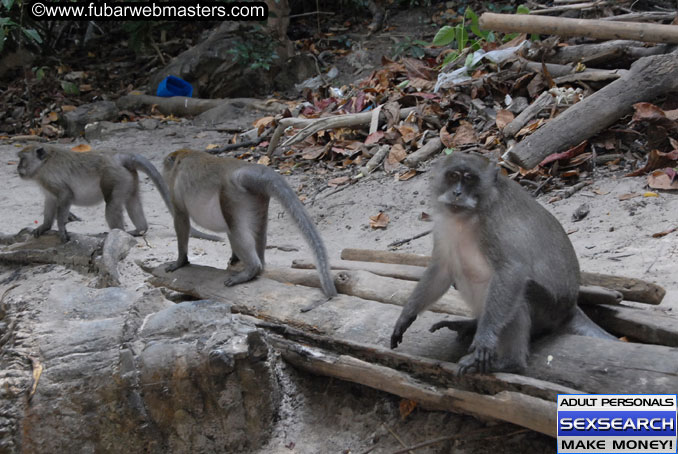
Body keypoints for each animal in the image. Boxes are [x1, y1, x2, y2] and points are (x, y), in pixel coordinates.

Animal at [17, 145, 220, 243]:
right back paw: (139, 229)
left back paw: (118, 235)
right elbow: (50, 201)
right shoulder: (46, 184)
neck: (43, 164)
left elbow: (65, 195)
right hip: (128, 177)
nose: (18, 168)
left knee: (112, 204)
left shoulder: (51, 178)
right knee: (131, 200)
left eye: (22, 159)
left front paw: (61, 229)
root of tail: (120, 156)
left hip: (114, 177)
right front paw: (44, 227)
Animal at [163, 149, 342, 302]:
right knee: (256, 231)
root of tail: (244, 169)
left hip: (231, 194)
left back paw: (252, 269)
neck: (183, 156)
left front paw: (180, 261)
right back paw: (257, 267)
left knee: (234, 229)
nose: (164, 169)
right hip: (258, 198)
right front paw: (234, 258)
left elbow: (181, 218)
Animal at [388, 153, 616, 372]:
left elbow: (511, 271)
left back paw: (510, 362)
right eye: (453, 176)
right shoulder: (444, 224)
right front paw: (407, 315)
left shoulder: (494, 226)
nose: (457, 193)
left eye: (469, 178)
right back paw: (473, 325)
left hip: (550, 310)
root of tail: (570, 307)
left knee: (523, 292)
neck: (469, 216)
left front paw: (485, 340)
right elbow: (442, 268)